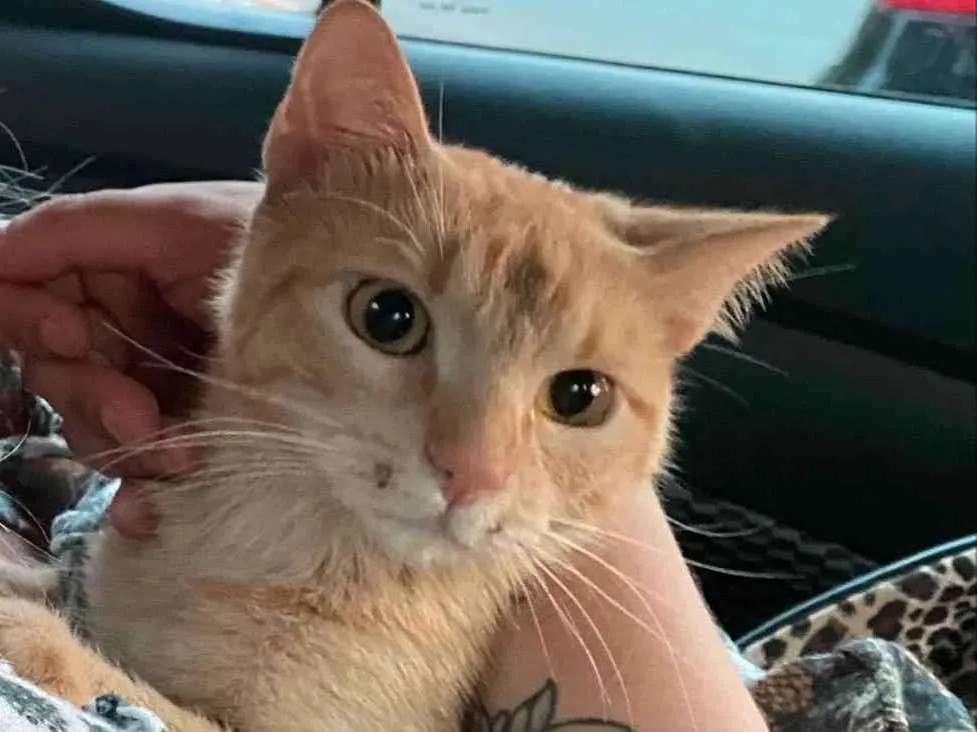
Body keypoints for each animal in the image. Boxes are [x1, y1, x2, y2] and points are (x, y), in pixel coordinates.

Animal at [0, 1, 828, 730]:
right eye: (388, 317)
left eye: (579, 395)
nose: (471, 473)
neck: (278, 536)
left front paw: (25, 628)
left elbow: (109, 678)